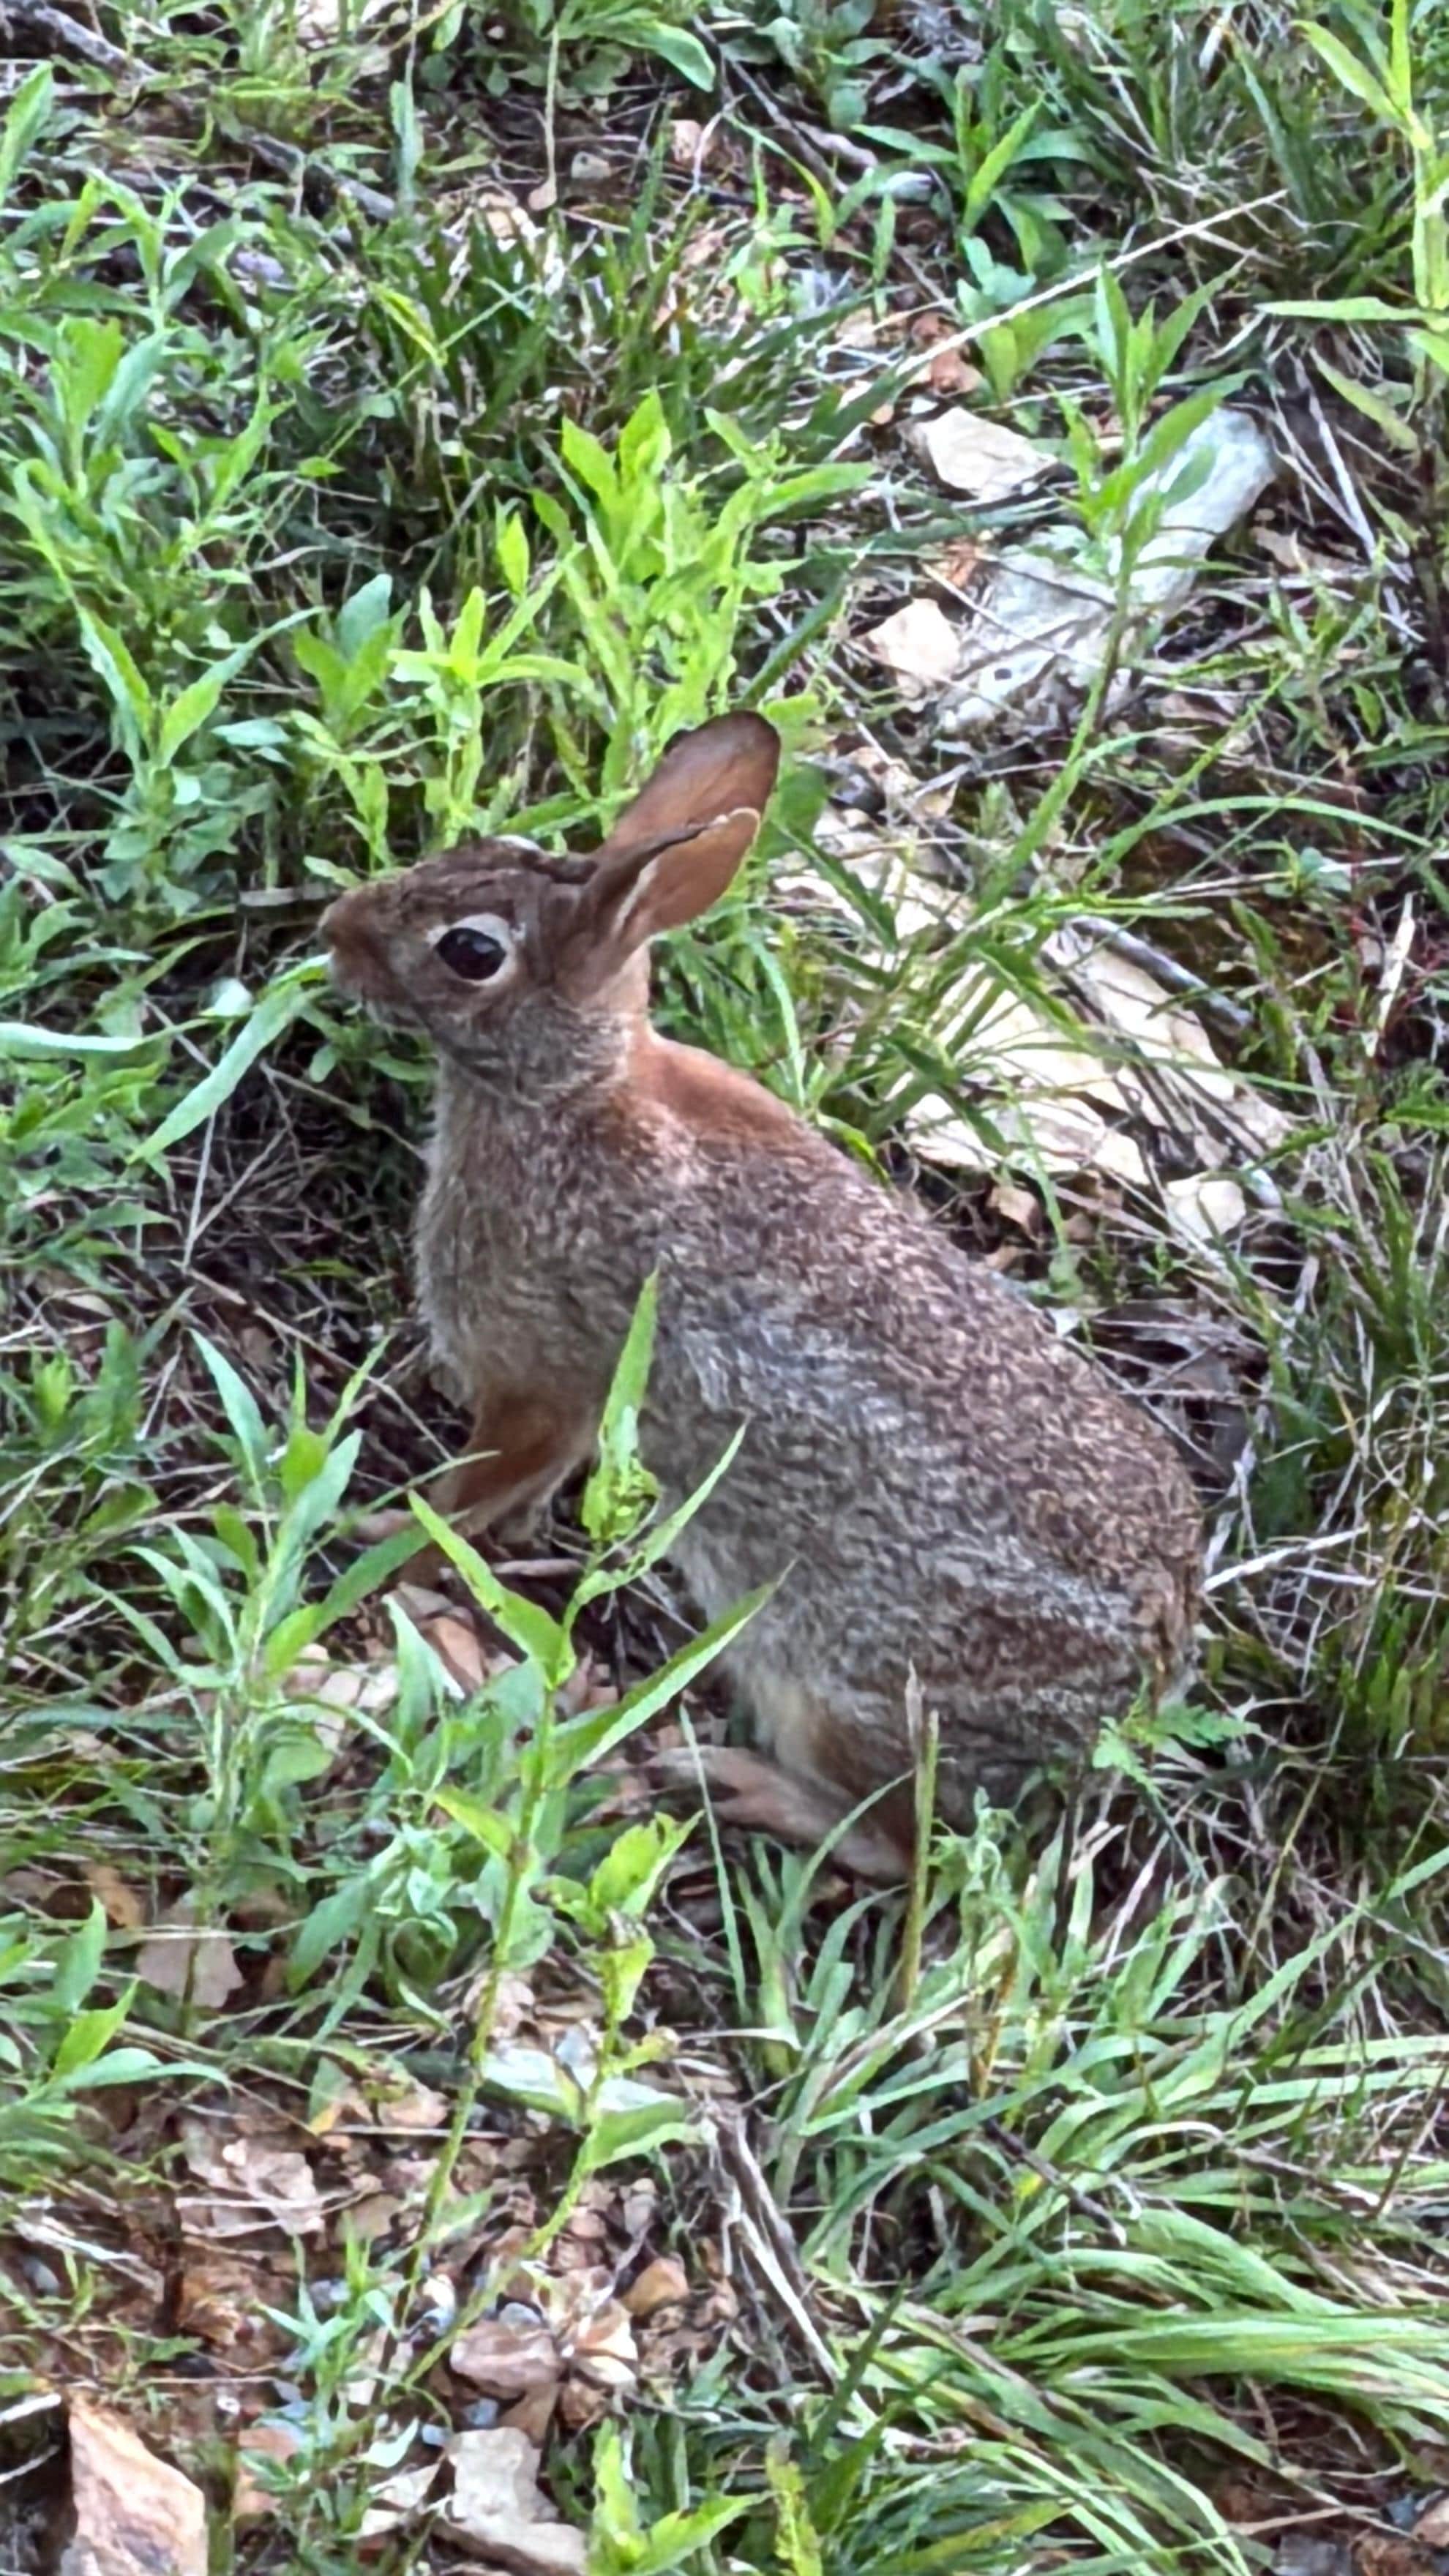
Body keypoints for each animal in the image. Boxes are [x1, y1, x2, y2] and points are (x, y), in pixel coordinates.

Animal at [323, 712, 1203, 1879]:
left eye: (469, 951)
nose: (336, 929)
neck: (574, 1092)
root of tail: (1142, 1685)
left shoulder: (539, 1376)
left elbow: (470, 1490)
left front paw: (382, 1535)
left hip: (840, 1688)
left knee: (896, 1846)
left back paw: (740, 1784)